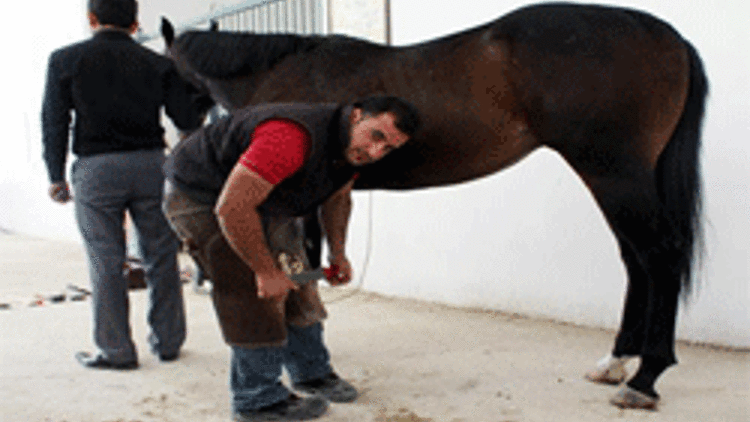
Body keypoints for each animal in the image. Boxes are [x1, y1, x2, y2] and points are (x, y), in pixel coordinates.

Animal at [162, 1, 708, 410]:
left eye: (163, 68)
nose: (178, 129)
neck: (284, 69)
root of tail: (665, 35)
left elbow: (305, 269)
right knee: (636, 260)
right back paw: (616, 362)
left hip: (613, 173)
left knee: (658, 256)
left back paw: (644, 379)